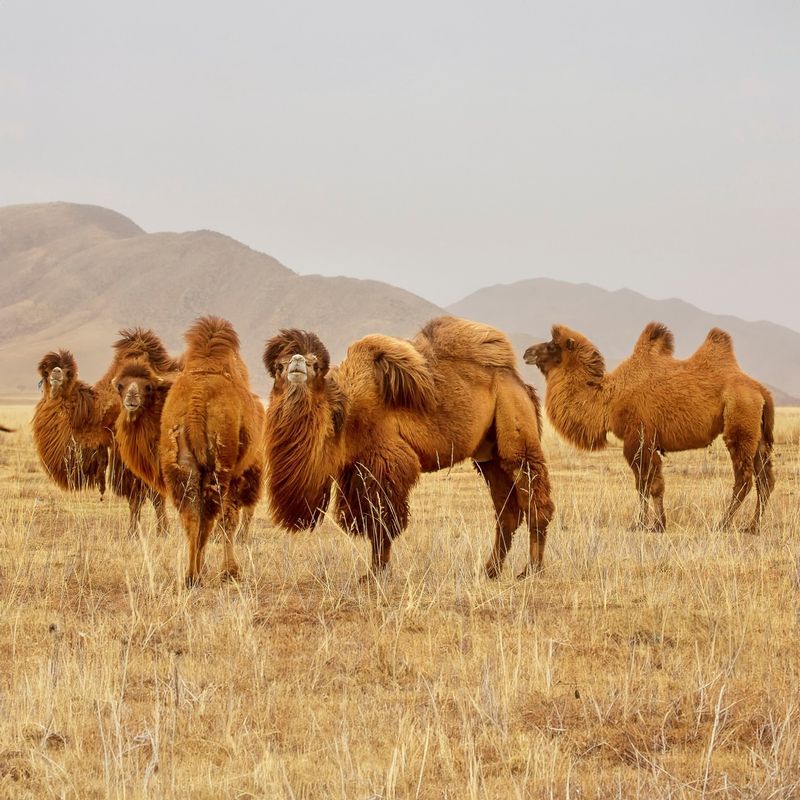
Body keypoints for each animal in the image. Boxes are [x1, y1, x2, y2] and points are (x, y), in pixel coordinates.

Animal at [33, 328, 182, 536]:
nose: (56, 373)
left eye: (69, 372)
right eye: (46, 371)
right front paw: (133, 533)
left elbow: (152, 495)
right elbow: (135, 498)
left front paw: (162, 532)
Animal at [159, 316, 266, 584]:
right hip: (220, 467)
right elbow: (229, 520)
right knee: (211, 516)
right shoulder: (237, 474)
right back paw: (207, 572)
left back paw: (192, 574)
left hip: (181, 466)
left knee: (192, 517)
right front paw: (230, 571)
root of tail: (197, 401)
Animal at [266, 314, 552, 580]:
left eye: (314, 364)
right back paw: (491, 570)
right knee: (507, 513)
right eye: (279, 365)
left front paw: (375, 573)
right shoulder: (355, 469)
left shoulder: (385, 461)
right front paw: (374, 571)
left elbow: (383, 520)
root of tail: (520, 383)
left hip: (515, 421)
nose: (296, 363)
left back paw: (531, 569)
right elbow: (371, 518)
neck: (345, 417)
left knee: (534, 499)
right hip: (488, 456)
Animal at [524, 322, 776, 536]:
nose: (527, 352)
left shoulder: (638, 439)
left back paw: (723, 524)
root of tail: (761, 392)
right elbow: (651, 485)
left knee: (744, 479)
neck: (609, 398)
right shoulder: (648, 443)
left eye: (552, 345)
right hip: (760, 437)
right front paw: (654, 524)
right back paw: (752, 527)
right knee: (765, 481)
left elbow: (647, 484)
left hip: (740, 426)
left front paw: (646, 525)